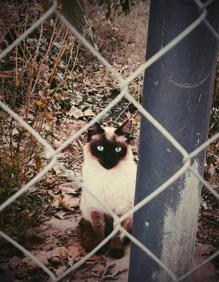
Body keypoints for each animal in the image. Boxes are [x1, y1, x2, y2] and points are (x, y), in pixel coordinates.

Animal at [79, 120, 136, 258]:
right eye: (100, 148)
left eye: (117, 149)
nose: (109, 161)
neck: (107, 177)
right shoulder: (96, 208)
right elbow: (99, 230)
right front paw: (101, 248)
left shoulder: (122, 209)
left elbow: (117, 233)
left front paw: (116, 252)